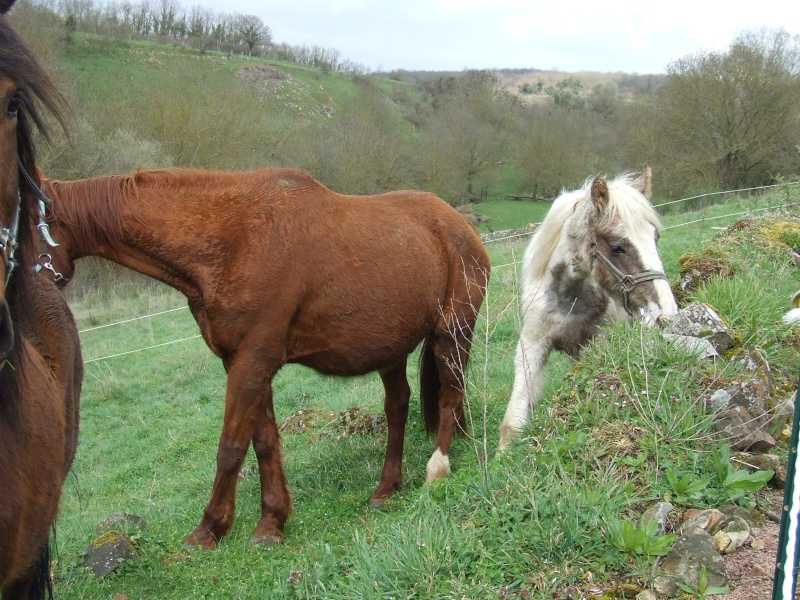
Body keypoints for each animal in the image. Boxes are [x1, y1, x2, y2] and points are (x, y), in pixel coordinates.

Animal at [42, 165, 494, 548]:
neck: (235, 238)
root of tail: (461, 227)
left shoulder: (252, 362)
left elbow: (231, 446)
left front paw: (208, 529)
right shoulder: (242, 363)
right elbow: (262, 442)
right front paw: (271, 523)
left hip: (451, 335)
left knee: (450, 399)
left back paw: (437, 471)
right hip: (392, 350)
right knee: (398, 408)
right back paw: (385, 488)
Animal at [500, 166, 676, 448]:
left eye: (655, 238)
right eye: (617, 247)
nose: (666, 313)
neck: (568, 299)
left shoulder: (596, 344)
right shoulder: (531, 346)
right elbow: (512, 423)